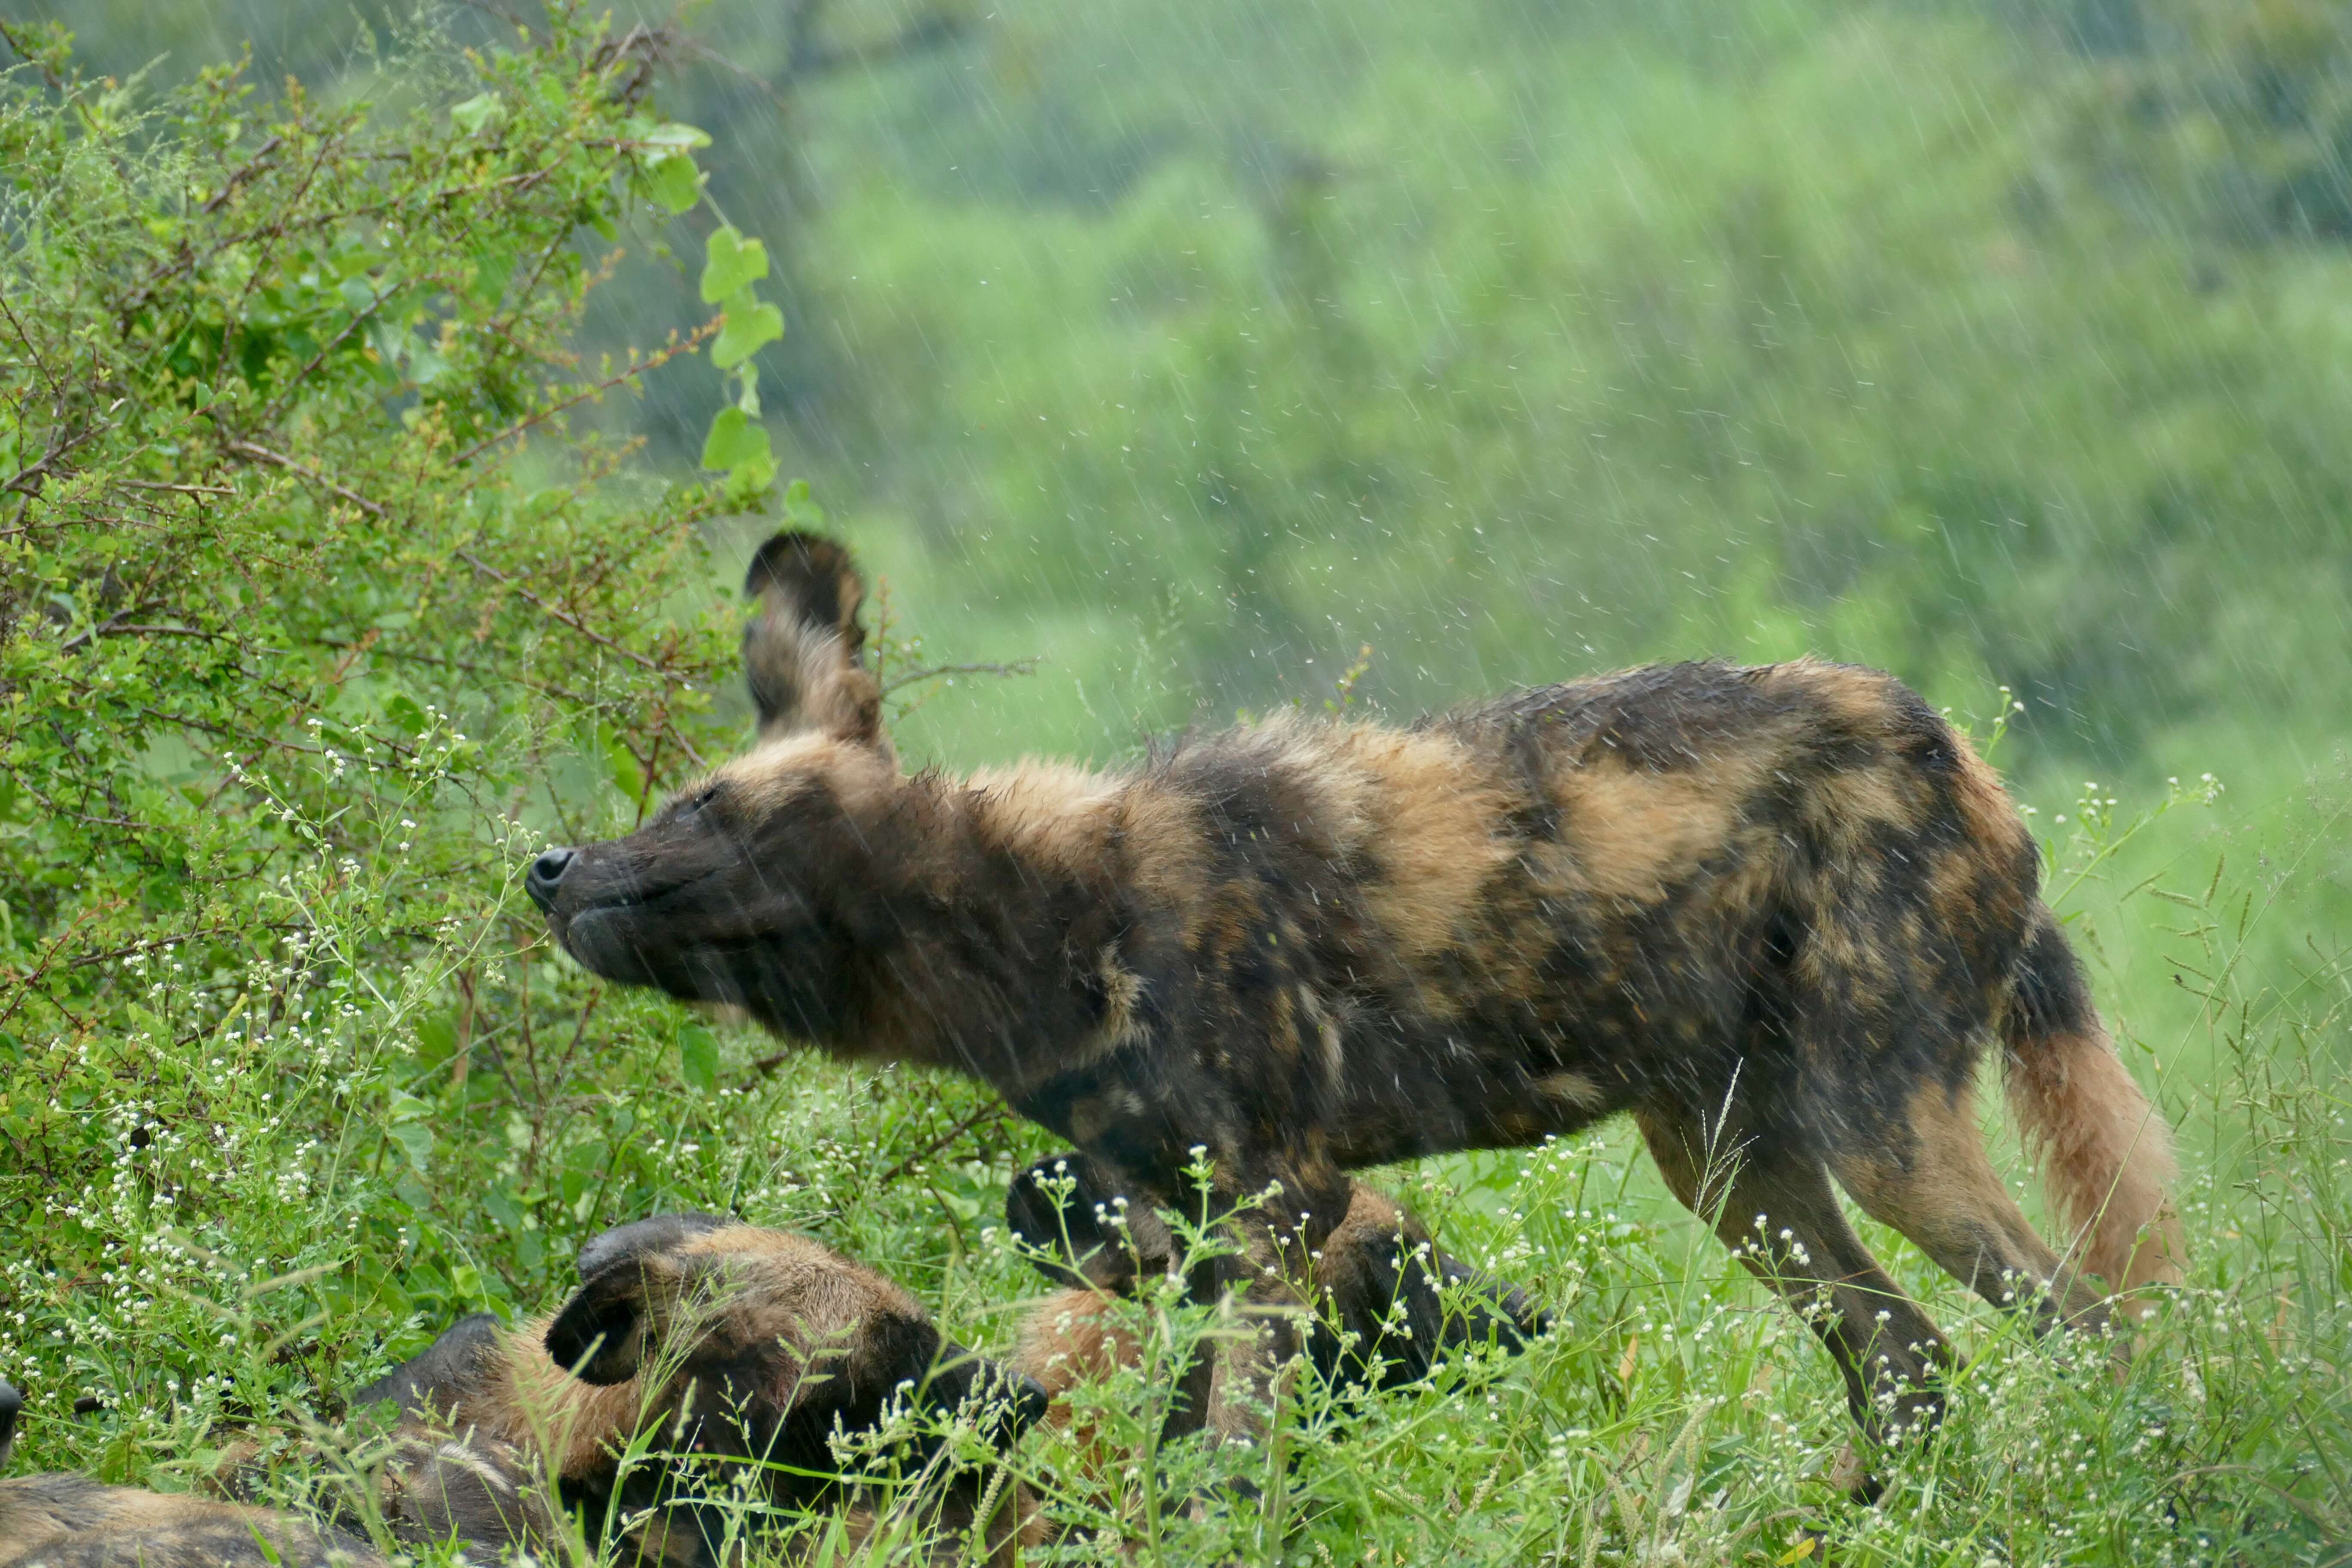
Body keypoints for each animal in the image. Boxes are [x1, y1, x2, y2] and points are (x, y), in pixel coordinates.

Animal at [529, 533, 2183, 1457]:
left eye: (701, 810)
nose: (546, 863)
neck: (1040, 907)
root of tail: (1963, 757)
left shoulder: (1275, 1209)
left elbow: (1225, 1458)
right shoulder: (1185, 1229)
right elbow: (1179, 1444)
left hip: (1877, 1140)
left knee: (2101, 1330)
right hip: (1734, 1169)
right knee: (1910, 1367)